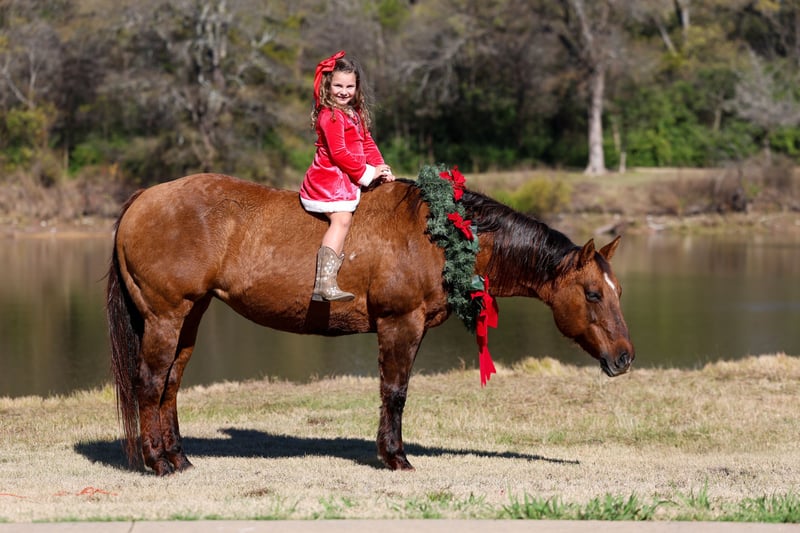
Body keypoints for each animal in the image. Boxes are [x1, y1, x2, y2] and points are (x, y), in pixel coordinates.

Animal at [106, 172, 634, 475]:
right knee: (149, 382)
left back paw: (178, 456)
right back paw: (158, 462)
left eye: (618, 292)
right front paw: (395, 456)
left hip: (189, 316)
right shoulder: (401, 323)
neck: (438, 235)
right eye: (592, 293)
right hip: (166, 316)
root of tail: (143, 198)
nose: (625, 358)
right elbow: (394, 392)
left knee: (171, 384)